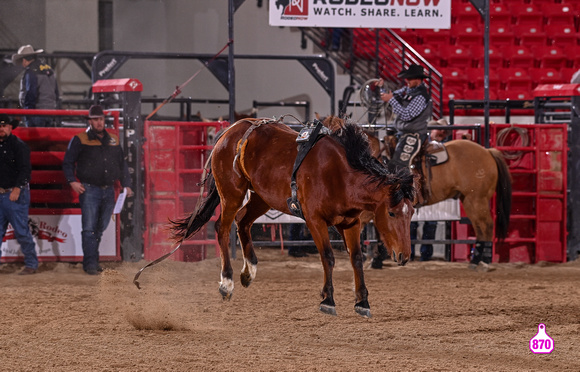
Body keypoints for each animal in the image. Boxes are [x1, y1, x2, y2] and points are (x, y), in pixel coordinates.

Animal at [170, 117, 414, 318]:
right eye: (391, 212)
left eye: (411, 213)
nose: (404, 256)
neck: (339, 174)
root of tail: (230, 131)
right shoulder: (315, 221)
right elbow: (328, 257)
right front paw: (328, 300)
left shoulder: (351, 222)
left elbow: (356, 259)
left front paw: (362, 302)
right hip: (231, 194)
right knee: (222, 227)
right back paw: (227, 283)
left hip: (262, 197)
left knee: (243, 221)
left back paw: (249, 271)